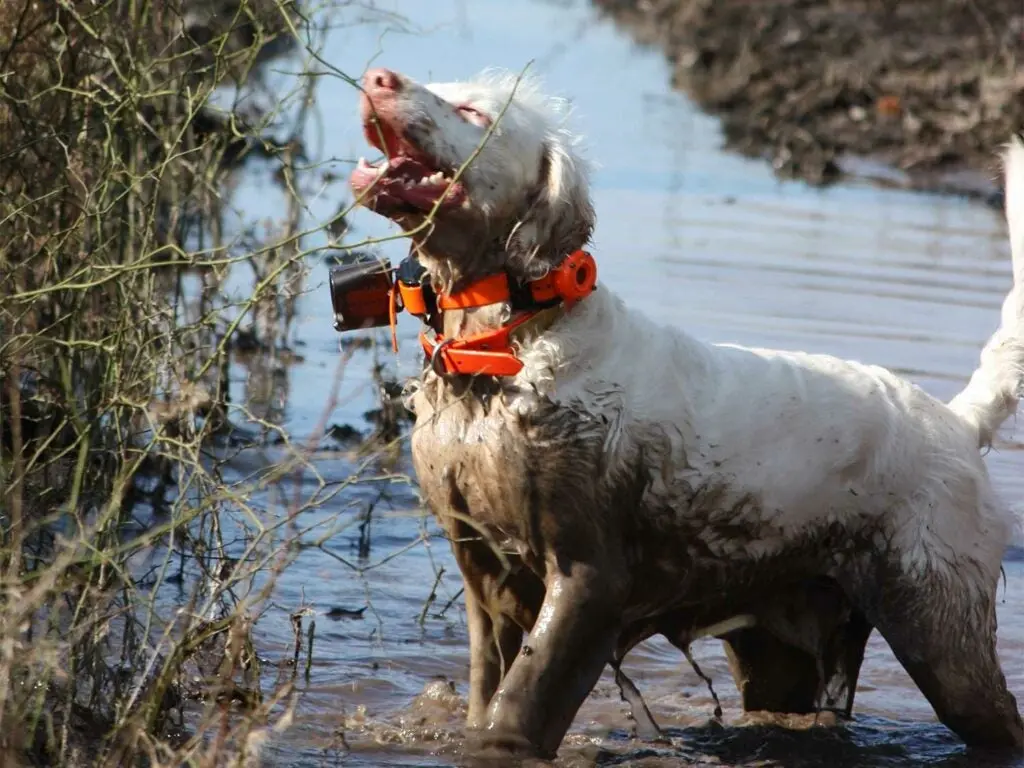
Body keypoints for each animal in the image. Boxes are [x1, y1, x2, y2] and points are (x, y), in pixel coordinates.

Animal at [346, 67, 1024, 765]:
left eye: (471, 111)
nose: (378, 77)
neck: (500, 353)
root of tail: (959, 422)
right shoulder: (486, 575)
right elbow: (488, 690)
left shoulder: (588, 578)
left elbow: (522, 704)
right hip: (786, 649)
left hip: (939, 621)